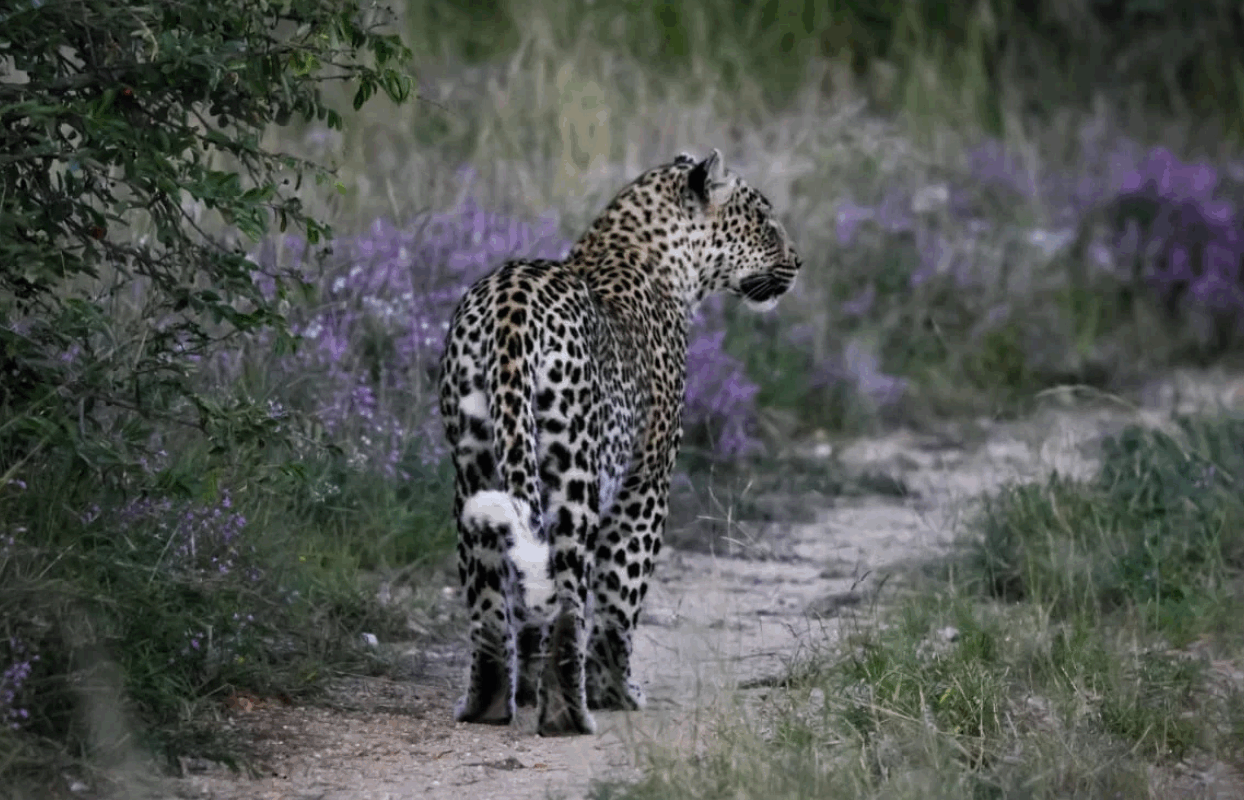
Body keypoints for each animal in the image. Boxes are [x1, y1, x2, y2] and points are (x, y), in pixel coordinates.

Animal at [437, 148, 801, 736]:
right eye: (764, 220)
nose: (799, 261)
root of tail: (511, 308)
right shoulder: (646, 484)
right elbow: (621, 599)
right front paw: (618, 692)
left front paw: (532, 685)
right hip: (574, 478)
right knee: (569, 598)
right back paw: (570, 715)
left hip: (473, 472)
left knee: (490, 600)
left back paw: (489, 706)